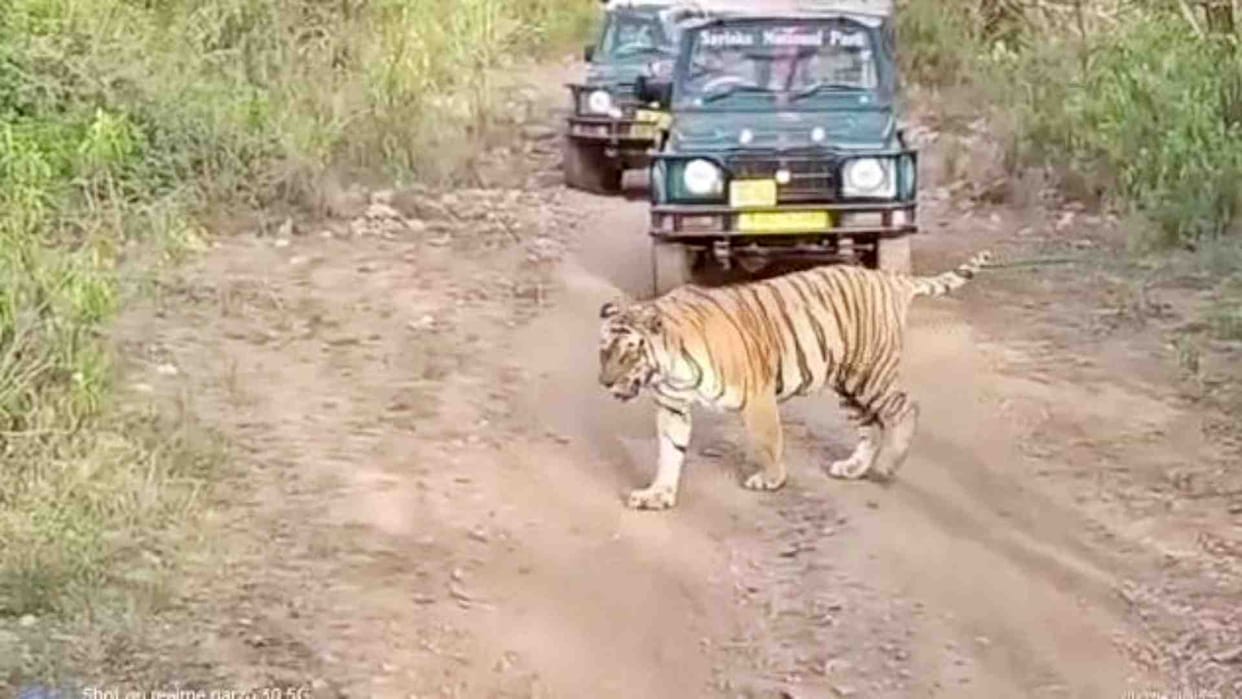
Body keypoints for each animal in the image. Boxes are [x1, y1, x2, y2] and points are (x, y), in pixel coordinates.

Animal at [597, 250, 993, 510]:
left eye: (629, 352)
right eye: (603, 351)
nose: (604, 383)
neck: (669, 368)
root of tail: (888, 277)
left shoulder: (756, 395)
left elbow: (767, 441)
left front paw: (771, 480)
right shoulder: (673, 407)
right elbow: (669, 452)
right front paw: (658, 494)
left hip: (870, 374)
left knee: (905, 407)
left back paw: (887, 465)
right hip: (848, 386)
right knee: (869, 426)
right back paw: (854, 467)